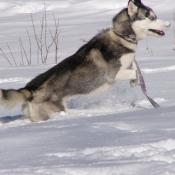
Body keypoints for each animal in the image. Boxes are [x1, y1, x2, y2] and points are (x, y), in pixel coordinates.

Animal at [0, 0, 170, 121]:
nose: (169, 24)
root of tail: (29, 89)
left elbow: (135, 67)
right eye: (152, 17)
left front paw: (135, 82)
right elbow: (138, 71)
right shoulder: (112, 75)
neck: (121, 36)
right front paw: (136, 80)